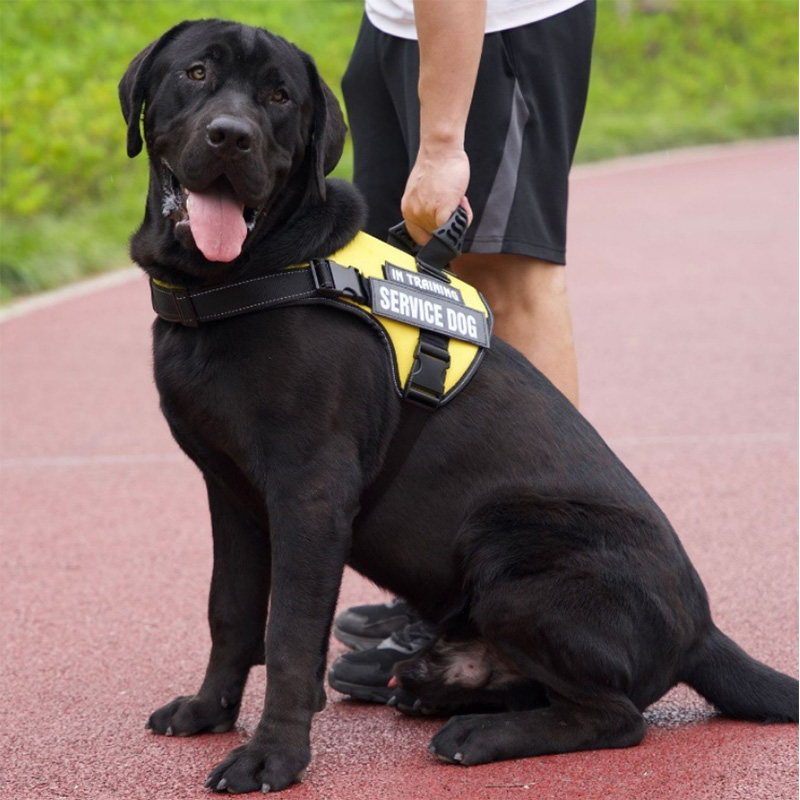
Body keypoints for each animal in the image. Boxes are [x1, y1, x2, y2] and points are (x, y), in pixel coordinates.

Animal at [120, 18, 800, 792]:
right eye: (197, 73)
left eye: (278, 96)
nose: (232, 137)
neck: (240, 278)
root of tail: (703, 632)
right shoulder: (230, 492)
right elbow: (230, 613)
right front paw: (208, 711)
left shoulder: (310, 496)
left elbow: (288, 635)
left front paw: (274, 755)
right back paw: (438, 689)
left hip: (505, 542)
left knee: (617, 716)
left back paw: (477, 732)